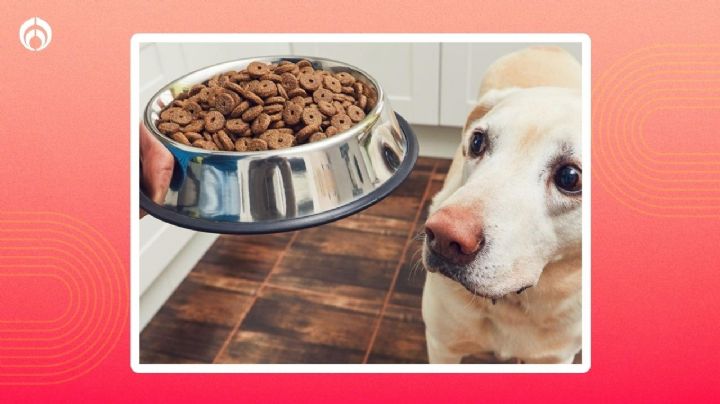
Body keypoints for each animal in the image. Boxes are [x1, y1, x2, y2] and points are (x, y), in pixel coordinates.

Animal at [422, 46, 584, 362]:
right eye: (477, 142)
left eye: (571, 178)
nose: (444, 237)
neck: (513, 304)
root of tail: (546, 47)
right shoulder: (441, 345)